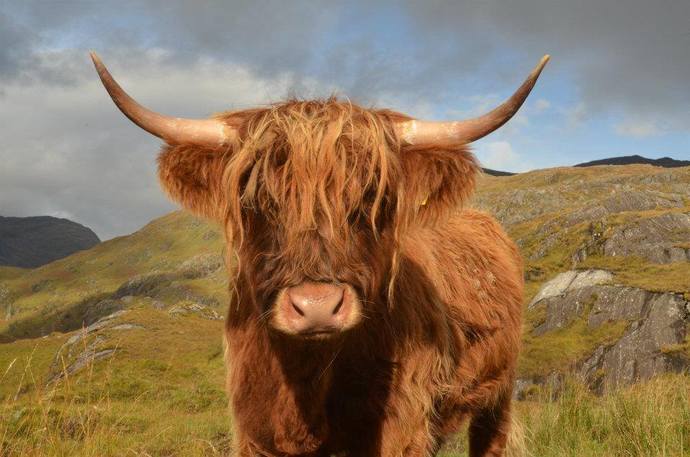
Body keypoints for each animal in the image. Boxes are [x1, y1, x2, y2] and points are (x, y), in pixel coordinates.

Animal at [91, 52, 549, 457]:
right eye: (254, 199)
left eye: (372, 198)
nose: (316, 307)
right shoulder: (255, 430)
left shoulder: (400, 427)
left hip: (497, 394)